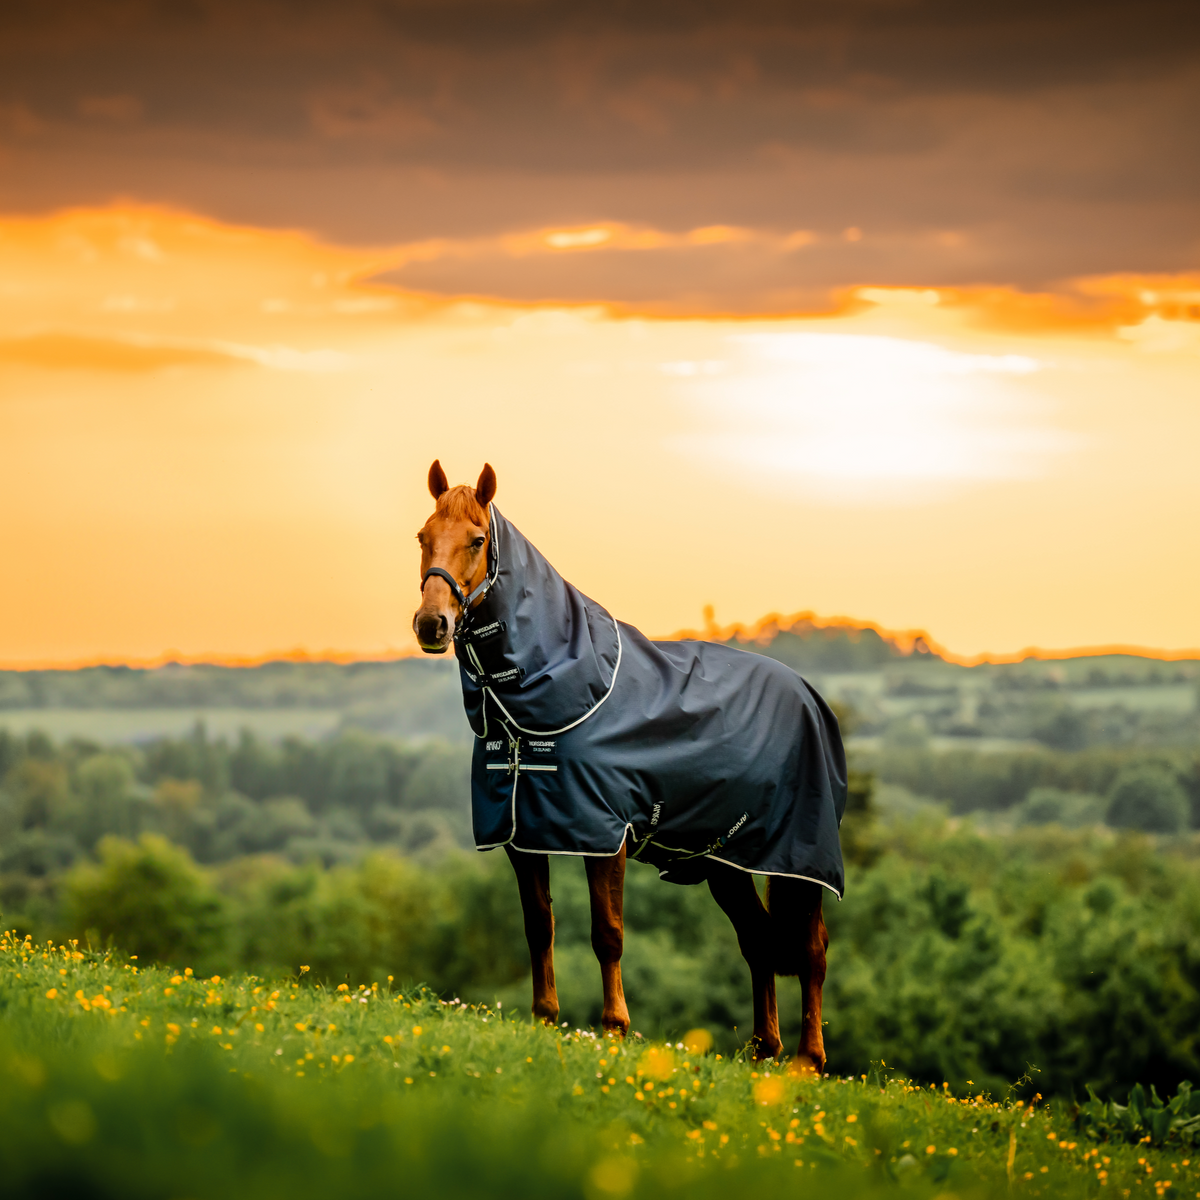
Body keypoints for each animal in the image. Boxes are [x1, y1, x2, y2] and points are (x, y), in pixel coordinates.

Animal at [412, 460, 847, 1069]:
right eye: (422, 538)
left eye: (477, 540)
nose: (432, 625)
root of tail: (809, 696)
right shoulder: (522, 834)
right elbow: (538, 924)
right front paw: (544, 1018)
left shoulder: (604, 833)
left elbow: (607, 932)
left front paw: (615, 1027)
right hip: (726, 860)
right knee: (759, 940)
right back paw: (764, 1051)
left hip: (800, 858)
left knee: (811, 947)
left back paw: (808, 1060)